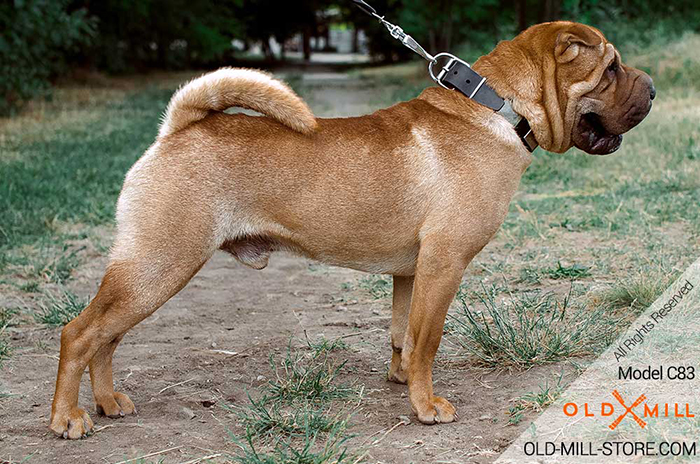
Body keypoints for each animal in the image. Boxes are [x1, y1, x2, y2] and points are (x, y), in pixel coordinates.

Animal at [50, 19, 656, 438]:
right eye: (611, 69)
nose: (650, 88)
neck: (499, 109)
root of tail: (178, 129)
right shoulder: (444, 263)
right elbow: (429, 340)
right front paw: (428, 408)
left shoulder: (411, 272)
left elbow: (403, 336)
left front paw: (402, 382)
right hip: (159, 264)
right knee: (80, 333)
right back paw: (67, 418)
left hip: (148, 271)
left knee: (106, 336)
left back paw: (108, 402)